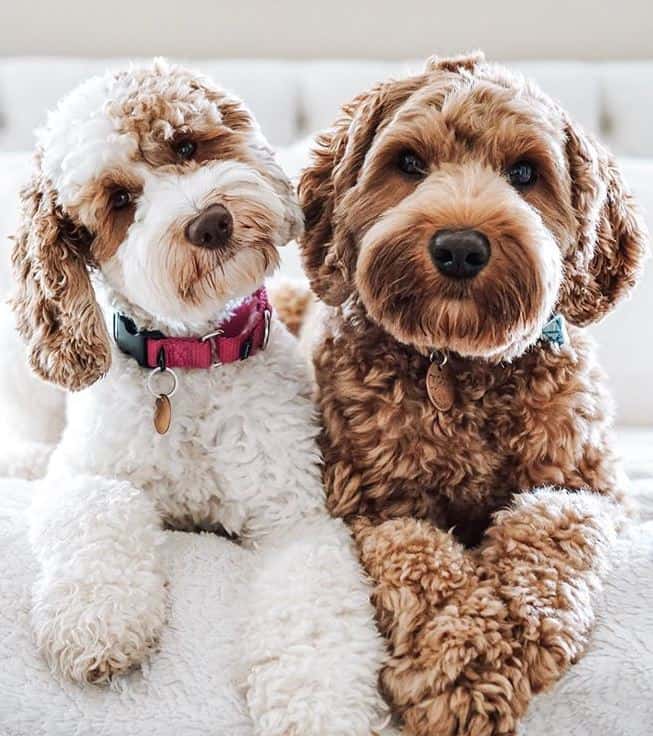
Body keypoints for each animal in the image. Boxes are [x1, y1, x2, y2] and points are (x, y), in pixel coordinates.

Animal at [3, 60, 388, 732]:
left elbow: (313, 615)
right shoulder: (87, 470)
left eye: (185, 145)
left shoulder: (294, 518)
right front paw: (98, 621)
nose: (211, 222)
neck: (191, 359)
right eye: (119, 200)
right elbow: (98, 509)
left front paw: (318, 704)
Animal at [292, 51, 648, 736]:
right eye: (408, 163)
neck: (460, 366)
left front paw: (508, 625)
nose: (459, 247)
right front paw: (458, 659)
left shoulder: (593, 491)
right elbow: (417, 551)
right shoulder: (362, 507)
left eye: (525, 173)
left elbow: (549, 527)